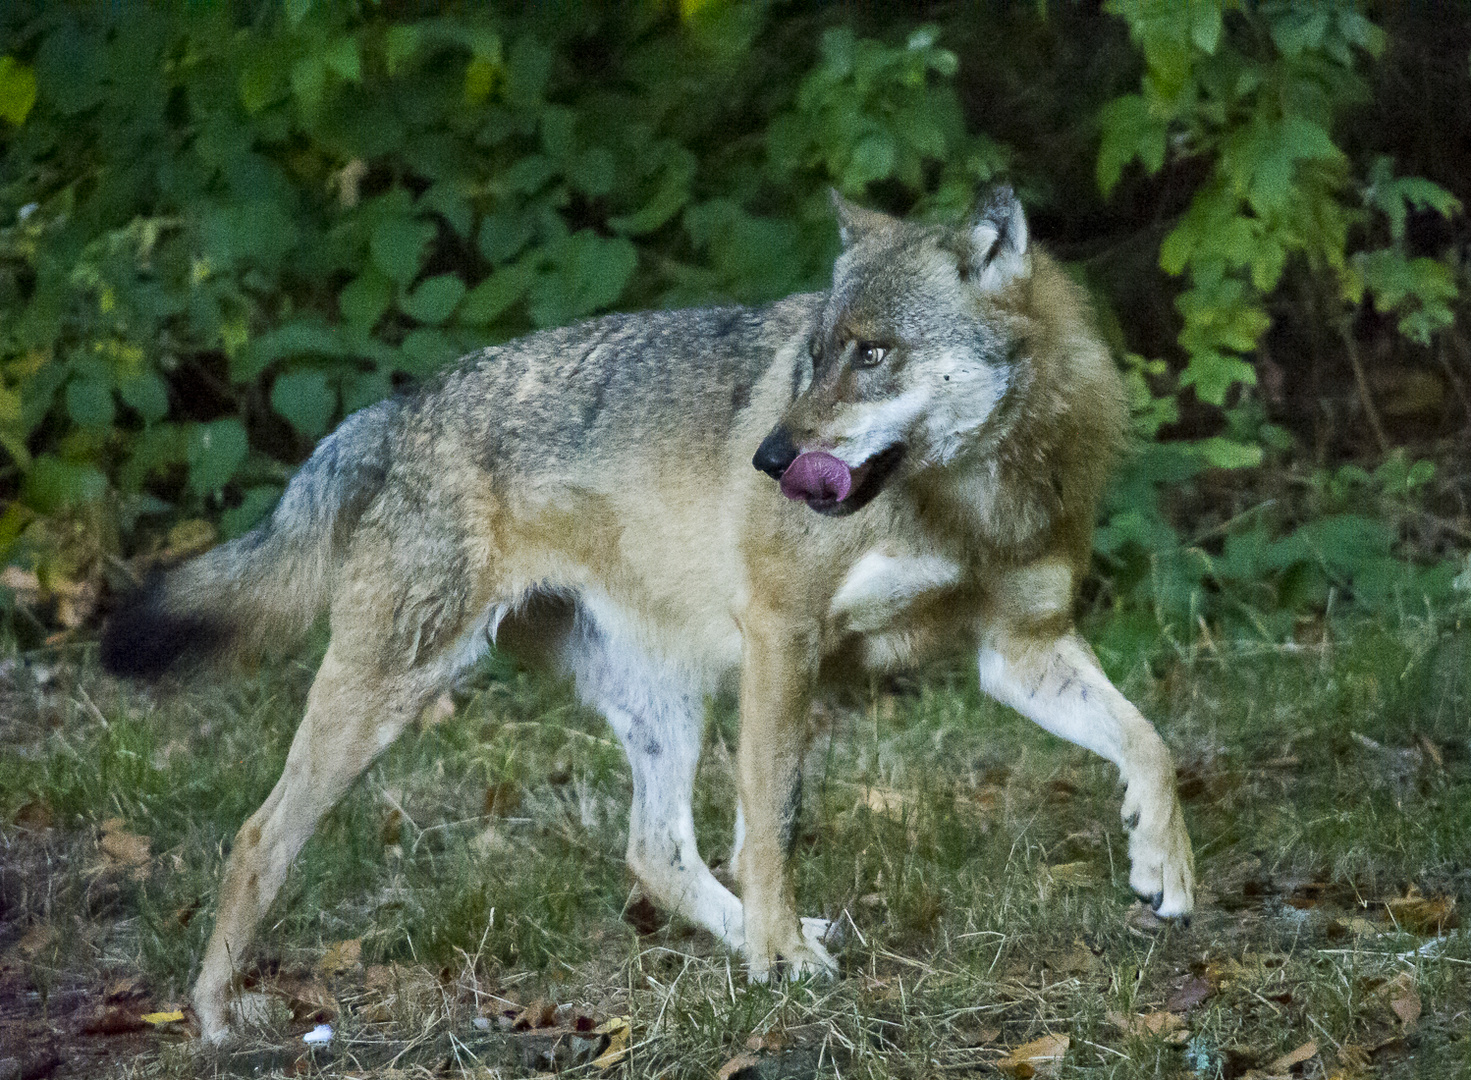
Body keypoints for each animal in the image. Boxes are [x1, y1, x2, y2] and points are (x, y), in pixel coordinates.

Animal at [100, 188, 1194, 1047]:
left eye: (874, 353)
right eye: (812, 359)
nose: (767, 460)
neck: (970, 503)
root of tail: (395, 410)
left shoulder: (1019, 650)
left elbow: (1151, 744)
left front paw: (1163, 867)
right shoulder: (782, 639)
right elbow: (771, 834)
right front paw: (777, 956)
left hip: (668, 705)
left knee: (653, 851)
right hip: (395, 694)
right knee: (255, 838)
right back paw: (215, 1017)